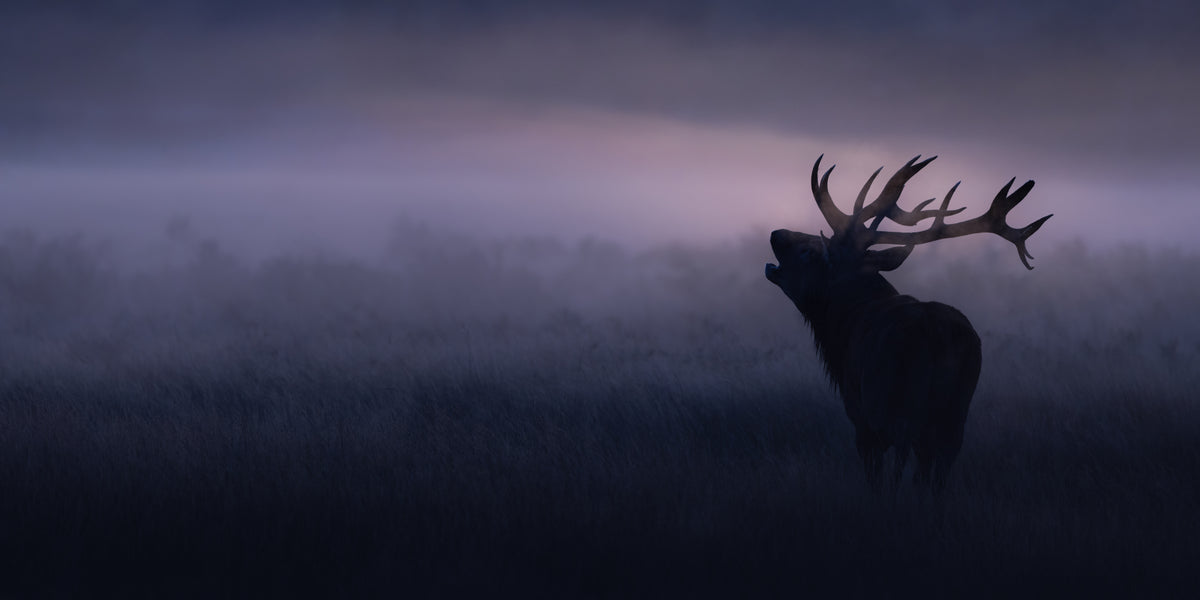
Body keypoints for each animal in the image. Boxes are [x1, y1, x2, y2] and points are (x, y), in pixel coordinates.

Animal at [764, 155, 1051, 494]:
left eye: (809, 251)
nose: (776, 233)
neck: (840, 333)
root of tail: (939, 335)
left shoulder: (862, 419)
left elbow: (876, 480)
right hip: (956, 413)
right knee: (937, 476)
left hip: (900, 405)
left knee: (904, 468)